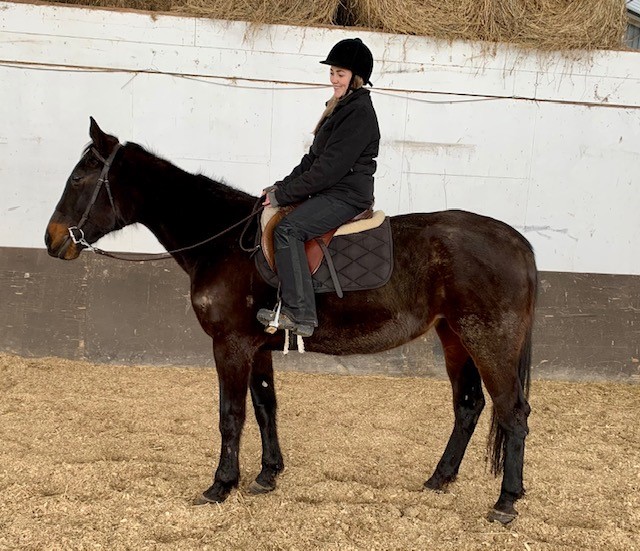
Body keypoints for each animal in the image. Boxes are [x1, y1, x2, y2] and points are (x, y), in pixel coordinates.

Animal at [45, 118, 537, 524]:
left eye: (79, 178)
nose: (51, 240)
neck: (224, 242)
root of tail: (516, 241)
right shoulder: (257, 346)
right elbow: (265, 406)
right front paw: (267, 475)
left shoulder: (230, 345)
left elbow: (231, 415)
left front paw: (221, 485)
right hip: (454, 336)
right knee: (469, 405)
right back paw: (440, 479)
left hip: (488, 340)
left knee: (512, 411)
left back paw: (505, 502)